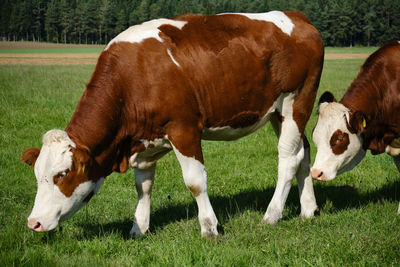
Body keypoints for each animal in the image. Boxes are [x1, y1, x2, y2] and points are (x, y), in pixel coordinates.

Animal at [20, 12, 324, 239]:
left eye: (61, 174)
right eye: (36, 175)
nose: (33, 223)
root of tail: (296, 16)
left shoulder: (184, 129)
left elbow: (195, 182)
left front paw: (209, 228)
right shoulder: (144, 140)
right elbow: (143, 186)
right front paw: (138, 228)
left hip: (296, 101)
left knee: (288, 159)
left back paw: (272, 215)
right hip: (277, 113)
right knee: (303, 152)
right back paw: (308, 209)